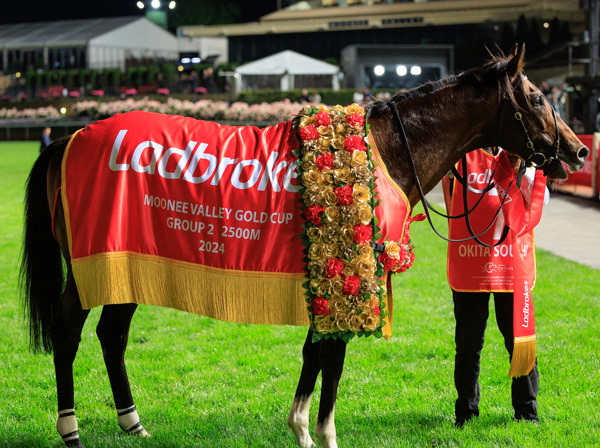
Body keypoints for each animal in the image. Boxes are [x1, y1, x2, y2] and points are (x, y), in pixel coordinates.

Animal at [19, 44, 592, 448]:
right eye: (537, 98)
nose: (579, 149)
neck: (382, 150)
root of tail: (70, 138)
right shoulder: (347, 268)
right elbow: (331, 358)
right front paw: (321, 433)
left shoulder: (331, 272)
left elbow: (315, 352)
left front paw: (299, 427)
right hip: (93, 265)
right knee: (69, 332)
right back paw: (71, 429)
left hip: (126, 265)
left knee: (112, 336)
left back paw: (133, 424)